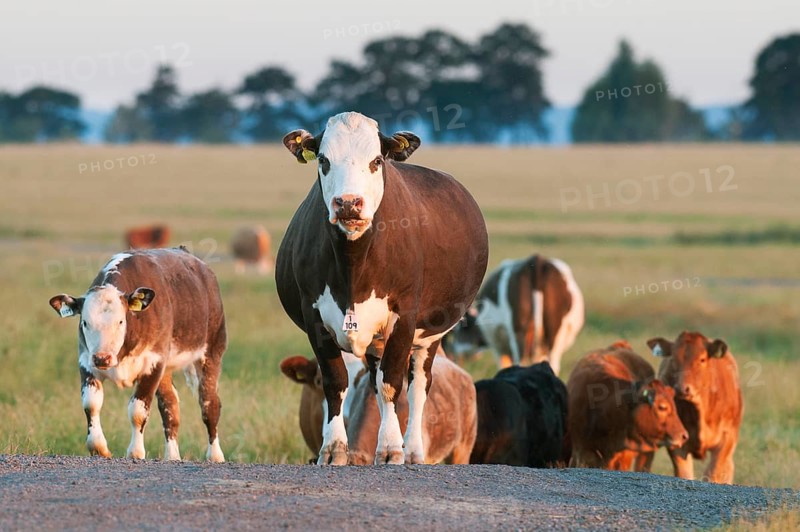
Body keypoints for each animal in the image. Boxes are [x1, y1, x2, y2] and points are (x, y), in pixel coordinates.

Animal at [48, 248, 227, 462]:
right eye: (85, 322)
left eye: (120, 321)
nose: (102, 358)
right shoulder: (86, 361)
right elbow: (91, 404)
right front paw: (98, 447)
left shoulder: (153, 363)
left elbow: (138, 411)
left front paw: (135, 451)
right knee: (170, 407)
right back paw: (172, 456)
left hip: (212, 351)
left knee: (210, 405)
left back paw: (215, 455)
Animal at [276, 112, 488, 465]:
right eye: (323, 159)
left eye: (376, 161)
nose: (348, 203)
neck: (353, 265)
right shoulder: (314, 316)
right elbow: (336, 382)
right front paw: (333, 448)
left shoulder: (405, 315)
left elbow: (392, 382)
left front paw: (391, 448)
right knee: (374, 382)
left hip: (430, 337)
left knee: (417, 388)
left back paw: (413, 449)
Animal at [443, 254, 584, 375]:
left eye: (460, 329)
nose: (452, 353)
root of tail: (535, 261)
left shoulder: (499, 348)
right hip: (553, 336)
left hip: (519, 334)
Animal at [647, 332, 743, 484]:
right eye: (673, 358)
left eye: (702, 359)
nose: (682, 388)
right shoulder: (677, 442)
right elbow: (684, 474)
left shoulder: (727, 439)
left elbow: (713, 474)